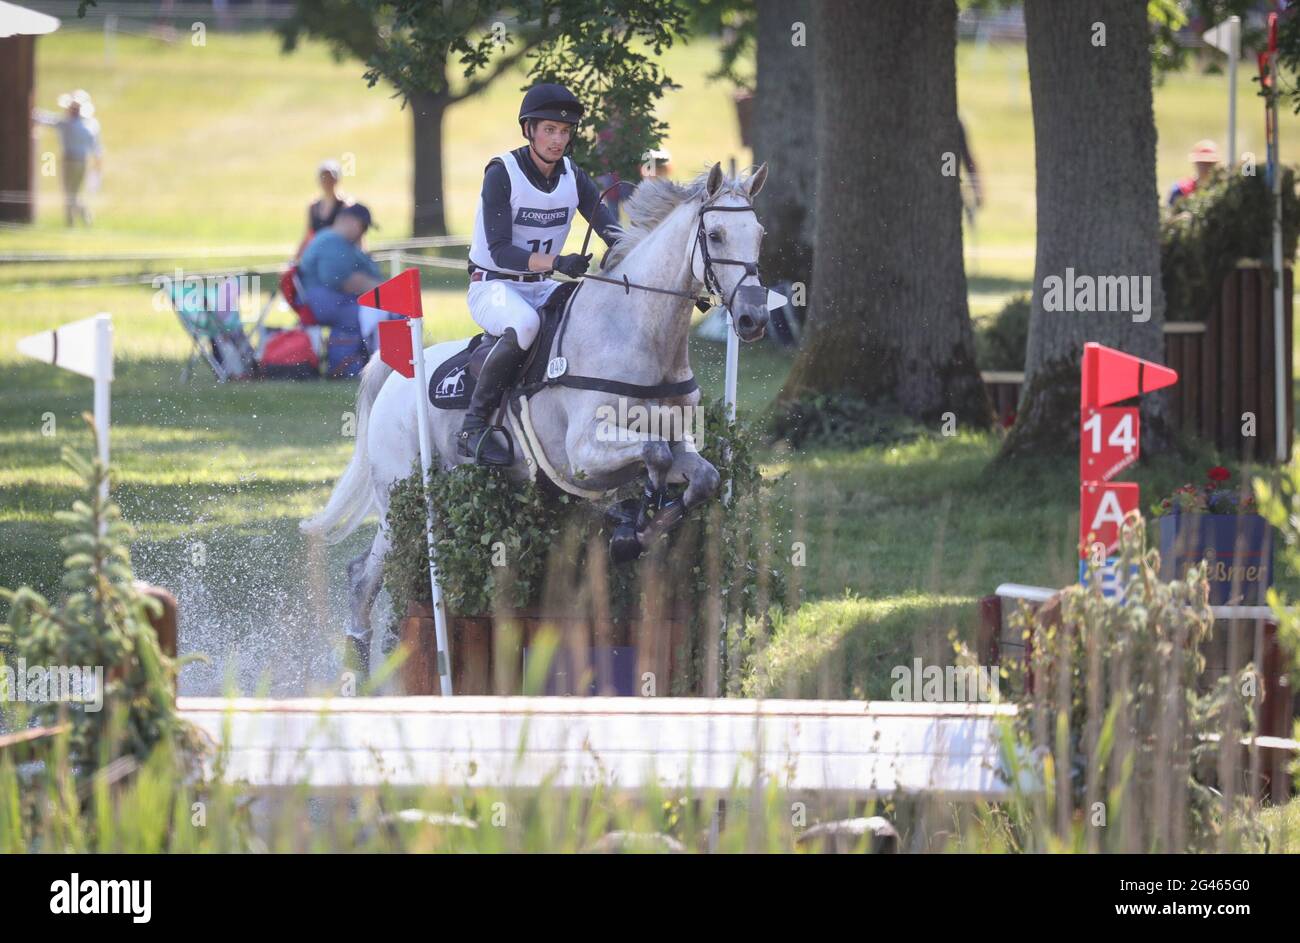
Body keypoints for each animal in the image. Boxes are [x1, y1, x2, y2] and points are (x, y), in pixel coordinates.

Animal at [301, 158, 769, 665]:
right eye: (716, 235)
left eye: (760, 233)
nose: (753, 319)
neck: (639, 333)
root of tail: (394, 377)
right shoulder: (582, 453)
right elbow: (655, 457)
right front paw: (631, 527)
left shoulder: (677, 441)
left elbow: (702, 477)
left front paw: (635, 526)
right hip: (400, 494)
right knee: (366, 578)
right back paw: (363, 670)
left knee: (368, 576)